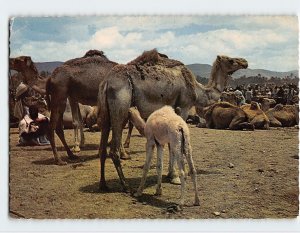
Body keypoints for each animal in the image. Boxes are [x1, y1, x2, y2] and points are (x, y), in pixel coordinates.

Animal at [97, 49, 247, 191]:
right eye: (231, 60)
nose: (245, 62)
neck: (197, 89)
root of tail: (106, 82)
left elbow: (170, 143)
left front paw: (171, 174)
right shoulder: (184, 107)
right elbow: (176, 143)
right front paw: (176, 177)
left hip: (106, 111)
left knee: (103, 148)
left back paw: (103, 185)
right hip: (120, 106)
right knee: (113, 150)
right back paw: (125, 186)